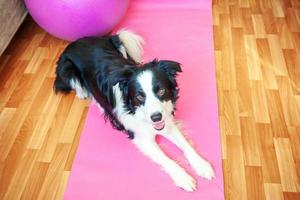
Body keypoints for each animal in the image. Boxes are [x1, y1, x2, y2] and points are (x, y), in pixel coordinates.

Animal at [53, 29, 213, 191]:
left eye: (161, 90)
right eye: (139, 96)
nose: (156, 117)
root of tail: (75, 41)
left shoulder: (166, 123)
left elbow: (185, 144)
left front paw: (201, 164)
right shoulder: (142, 138)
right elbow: (166, 159)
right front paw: (183, 177)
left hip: (121, 41)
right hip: (67, 68)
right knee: (76, 85)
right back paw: (85, 94)